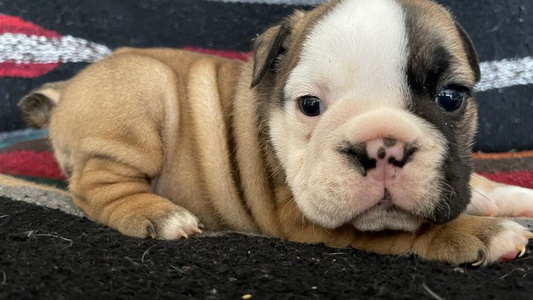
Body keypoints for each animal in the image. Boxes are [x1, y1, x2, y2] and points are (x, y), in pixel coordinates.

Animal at [19, 0, 532, 264]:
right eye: (310, 106)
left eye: (450, 98)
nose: (381, 147)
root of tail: (67, 90)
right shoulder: (304, 220)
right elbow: (401, 231)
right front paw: (482, 233)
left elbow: (479, 183)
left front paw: (509, 196)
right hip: (144, 96)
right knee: (96, 185)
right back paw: (159, 216)